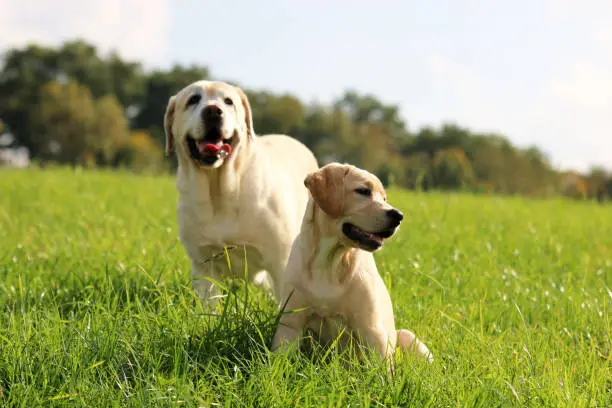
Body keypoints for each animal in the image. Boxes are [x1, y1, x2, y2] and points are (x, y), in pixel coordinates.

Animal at [166, 79, 320, 302]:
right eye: (193, 99)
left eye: (228, 101)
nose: (213, 111)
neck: (220, 190)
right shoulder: (204, 264)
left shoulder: (281, 261)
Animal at [272, 163, 436, 366]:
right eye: (363, 191)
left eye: (384, 198)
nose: (398, 216)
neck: (330, 261)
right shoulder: (290, 323)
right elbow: (279, 359)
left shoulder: (371, 328)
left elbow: (380, 369)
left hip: (408, 338)